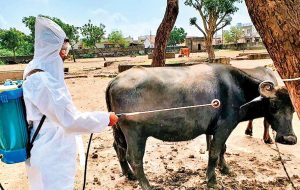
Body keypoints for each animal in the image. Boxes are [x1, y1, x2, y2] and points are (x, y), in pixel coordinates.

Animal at [105, 63, 296, 189]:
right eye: (273, 106)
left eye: (294, 109)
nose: (289, 139)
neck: (237, 90)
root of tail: (115, 81)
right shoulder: (224, 128)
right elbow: (214, 153)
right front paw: (212, 180)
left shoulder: (218, 130)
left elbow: (222, 149)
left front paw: (225, 168)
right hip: (135, 133)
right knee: (134, 157)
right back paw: (146, 185)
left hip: (119, 130)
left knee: (118, 148)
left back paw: (129, 174)